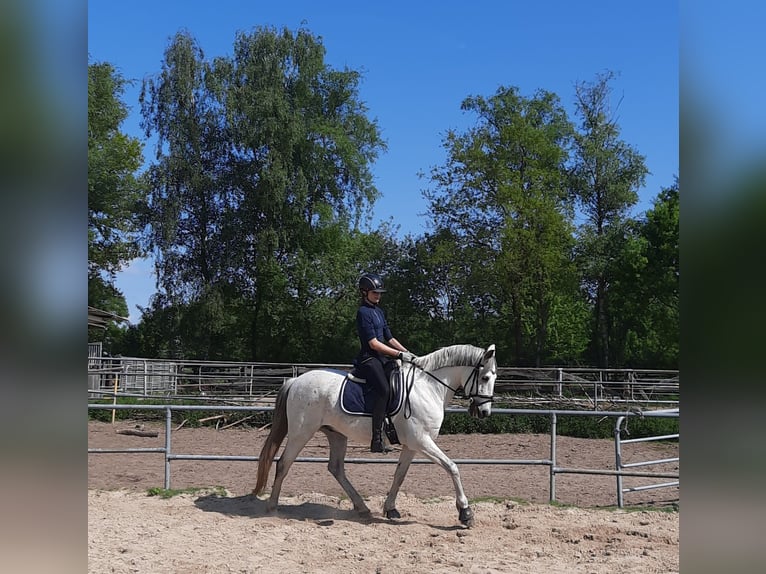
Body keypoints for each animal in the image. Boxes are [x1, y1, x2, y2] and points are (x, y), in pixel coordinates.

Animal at [253, 343, 497, 527]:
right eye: (485, 378)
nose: (485, 412)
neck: (428, 388)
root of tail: (296, 380)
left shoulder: (412, 445)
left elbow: (399, 475)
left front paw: (391, 509)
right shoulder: (422, 441)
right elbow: (452, 467)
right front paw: (465, 512)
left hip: (336, 434)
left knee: (336, 468)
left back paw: (362, 507)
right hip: (301, 432)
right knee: (283, 463)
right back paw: (272, 508)